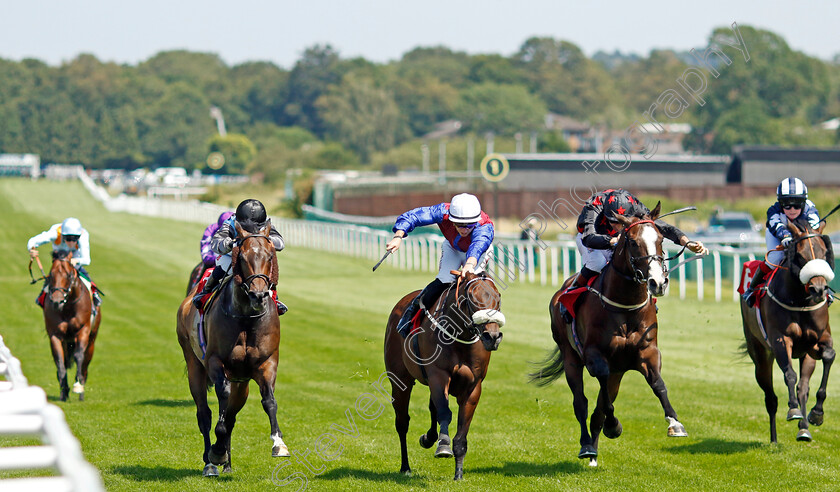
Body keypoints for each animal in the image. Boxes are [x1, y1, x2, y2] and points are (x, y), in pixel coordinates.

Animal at [44, 250, 101, 400]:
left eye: (69, 275)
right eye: (51, 274)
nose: (56, 301)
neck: (68, 308)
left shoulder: (83, 330)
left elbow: (78, 356)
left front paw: (78, 386)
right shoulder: (55, 335)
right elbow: (60, 361)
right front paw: (64, 391)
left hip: (92, 340)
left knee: (85, 364)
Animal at [176, 221, 290, 478]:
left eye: (270, 256)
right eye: (243, 257)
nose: (259, 294)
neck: (246, 318)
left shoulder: (266, 364)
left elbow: (269, 401)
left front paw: (279, 443)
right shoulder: (216, 363)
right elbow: (221, 405)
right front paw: (216, 453)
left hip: (242, 383)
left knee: (231, 416)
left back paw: (226, 463)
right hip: (194, 364)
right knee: (204, 414)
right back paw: (210, 462)